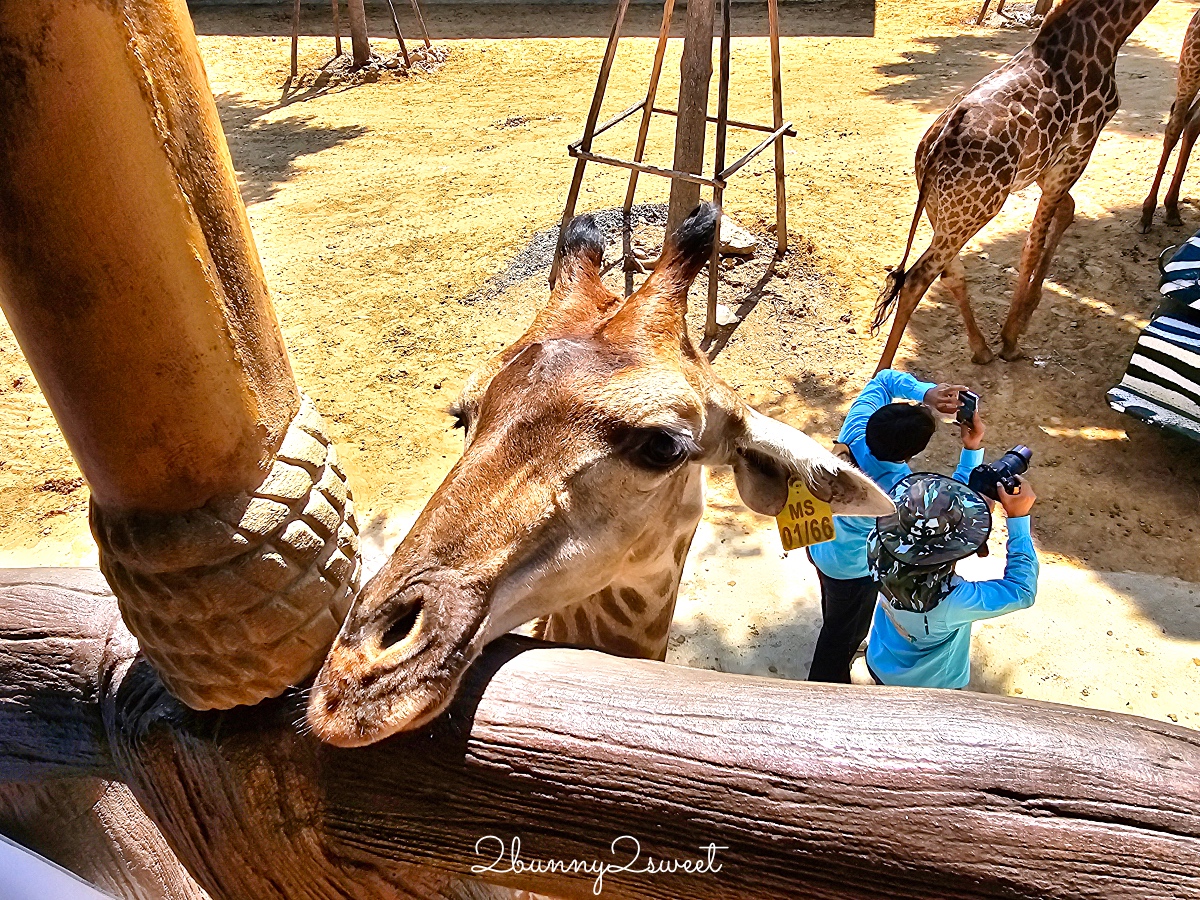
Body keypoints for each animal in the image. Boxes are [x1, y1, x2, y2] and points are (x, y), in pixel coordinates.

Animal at [873, 0, 1161, 374]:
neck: (1109, 31)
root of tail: (933, 152)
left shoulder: (1044, 163)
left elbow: (1067, 211)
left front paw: (1025, 316)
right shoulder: (1078, 149)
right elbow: (1032, 245)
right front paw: (1011, 338)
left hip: (944, 210)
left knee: (950, 272)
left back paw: (981, 350)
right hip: (977, 208)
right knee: (917, 279)